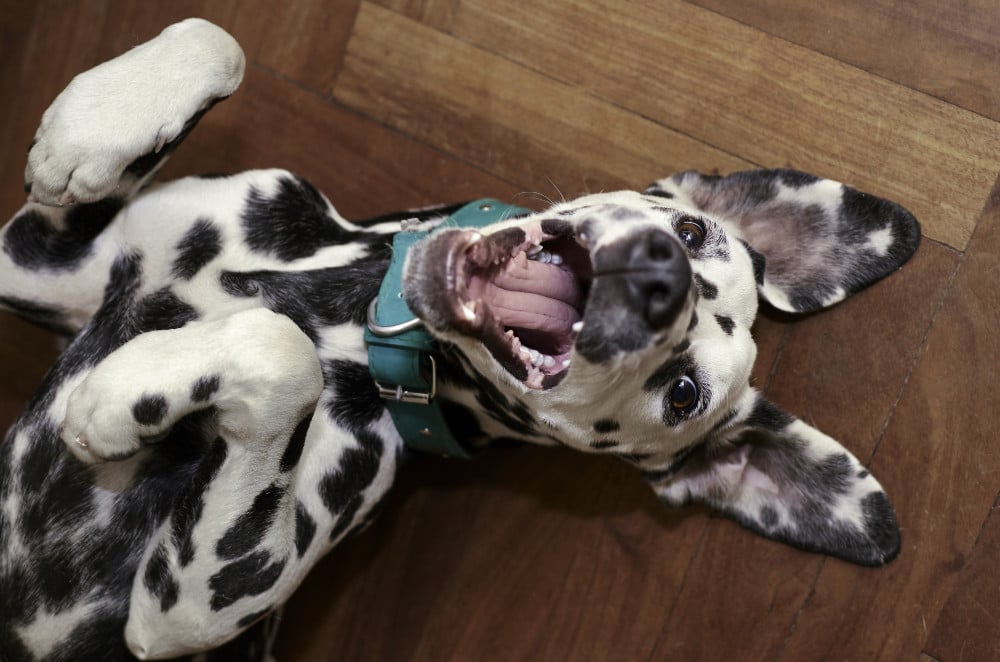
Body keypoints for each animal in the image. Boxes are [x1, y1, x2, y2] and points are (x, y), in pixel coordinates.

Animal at [0, 18, 920, 660]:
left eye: (685, 393)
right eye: (695, 234)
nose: (663, 280)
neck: (337, 302)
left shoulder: (188, 608)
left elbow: (277, 350)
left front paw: (124, 397)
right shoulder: (37, 257)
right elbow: (218, 39)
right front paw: (90, 131)